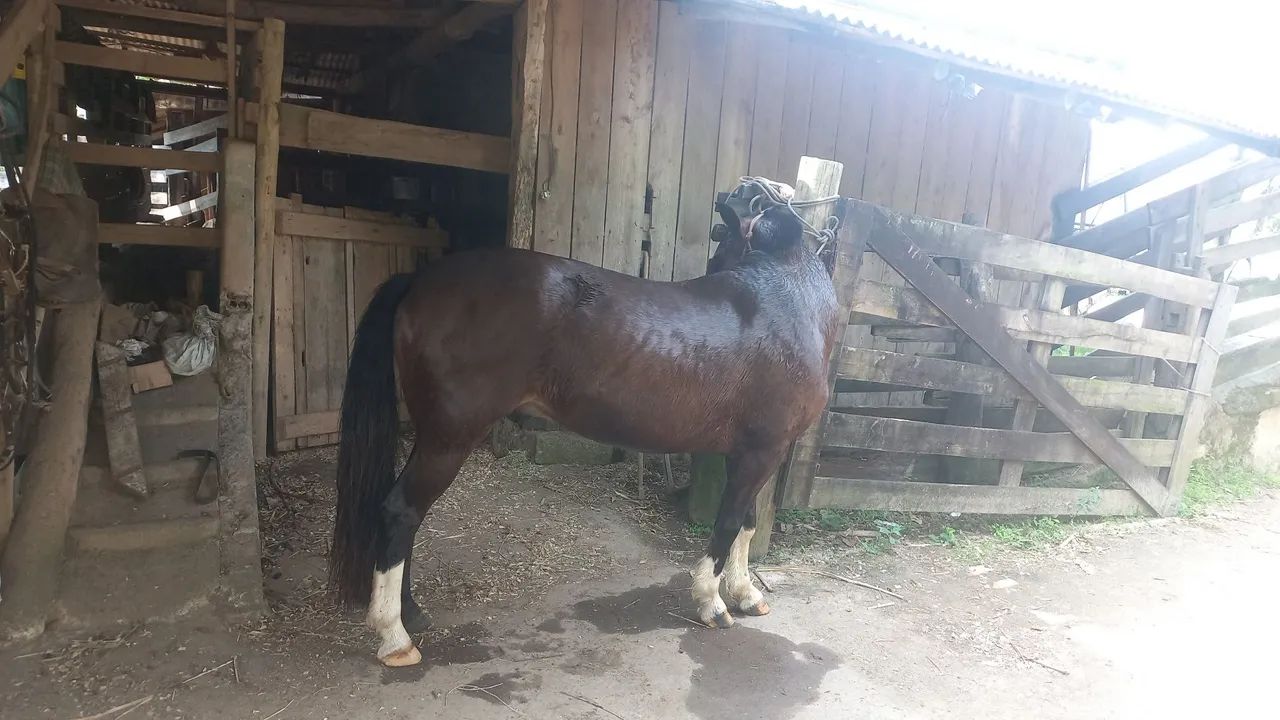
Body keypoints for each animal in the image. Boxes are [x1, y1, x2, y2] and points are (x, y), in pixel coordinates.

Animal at [330, 191, 846, 667]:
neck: (786, 300)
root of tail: (419, 280)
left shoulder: (754, 450)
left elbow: (745, 522)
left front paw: (745, 595)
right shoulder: (761, 451)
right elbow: (726, 525)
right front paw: (712, 603)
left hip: (435, 437)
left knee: (405, 515)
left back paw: (411, 613)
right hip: (448, 439)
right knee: (400, 511)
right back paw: (395, 636)